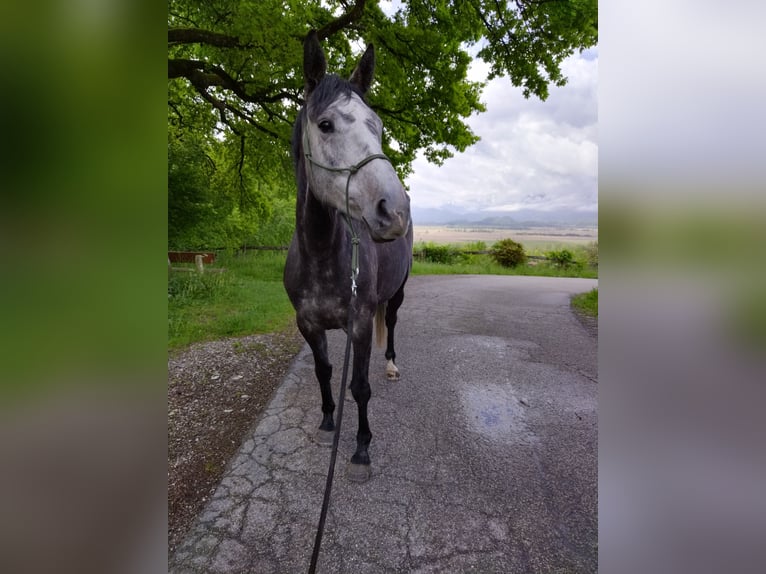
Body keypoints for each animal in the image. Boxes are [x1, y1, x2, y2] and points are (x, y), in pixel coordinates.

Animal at [283, 31, 413, 483]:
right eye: (326, 125)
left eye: (378, 126)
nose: (395, 209)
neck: (322, 255)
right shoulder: (307, 324)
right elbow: (324, 371)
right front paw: (327, 423)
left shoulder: (359, 322)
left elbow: (359, 387)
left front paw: (360, 450)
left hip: (396, 294)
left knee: (391, 325)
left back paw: (390, 365)